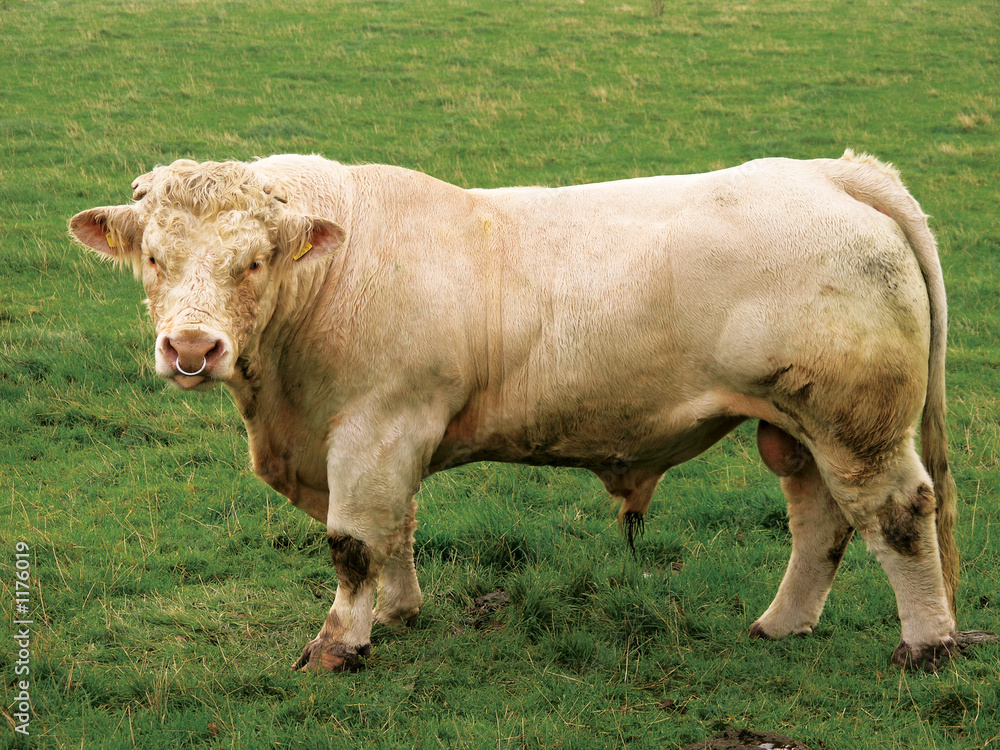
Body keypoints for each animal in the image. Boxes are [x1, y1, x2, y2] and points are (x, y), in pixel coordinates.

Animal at [70, 150, 961, 672]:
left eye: (253, 261)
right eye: (154, 256)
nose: (192, 347)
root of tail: (830, 171)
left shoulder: (375, 428)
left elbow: (355, 542)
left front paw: (340, 643)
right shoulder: (380, 443)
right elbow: (396, 530)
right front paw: (398, 612)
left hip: (858, 424)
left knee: (898, 514)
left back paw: (927, 643)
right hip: (797, 427)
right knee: (821, 520)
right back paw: (783, 624)